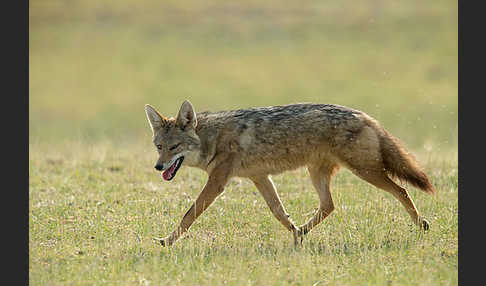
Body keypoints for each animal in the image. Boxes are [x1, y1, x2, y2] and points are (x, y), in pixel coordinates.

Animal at [143, 100, 432, 246]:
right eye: (159, 147)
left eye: (174, 147)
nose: (158, 167)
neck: (212, 138)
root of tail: (366, 116)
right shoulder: (260, 177)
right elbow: (279, 212)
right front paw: (293, 232)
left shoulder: (218, 182)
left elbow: (188, 215)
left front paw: (167, 241)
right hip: (318, 174)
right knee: (329, 206)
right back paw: (302, 232)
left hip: (366, 172)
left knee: (401, 190)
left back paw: (422, 225)